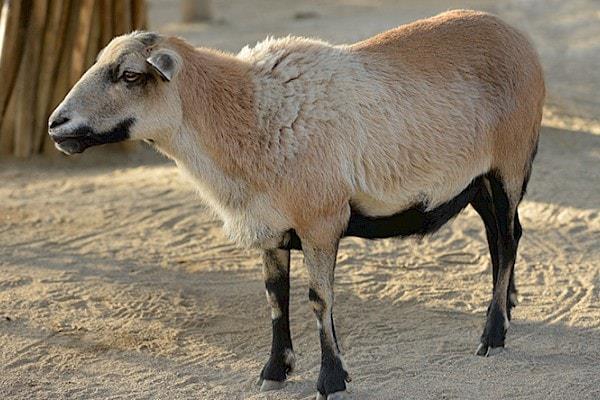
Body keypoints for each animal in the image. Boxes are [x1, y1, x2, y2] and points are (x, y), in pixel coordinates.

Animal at [47, 10, 544, 400]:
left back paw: (492, 335)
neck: (247, 114)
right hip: (478, 183)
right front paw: (275, 371)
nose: (56, 125)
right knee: (502, 240)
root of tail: (516, 36)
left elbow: (319, 299)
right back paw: (507, 309)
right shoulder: (270, 225)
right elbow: (275, 297)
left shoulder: (321, 220)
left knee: (507, 241)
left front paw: (331, 379)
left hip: (508, 164)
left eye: (130, 75)